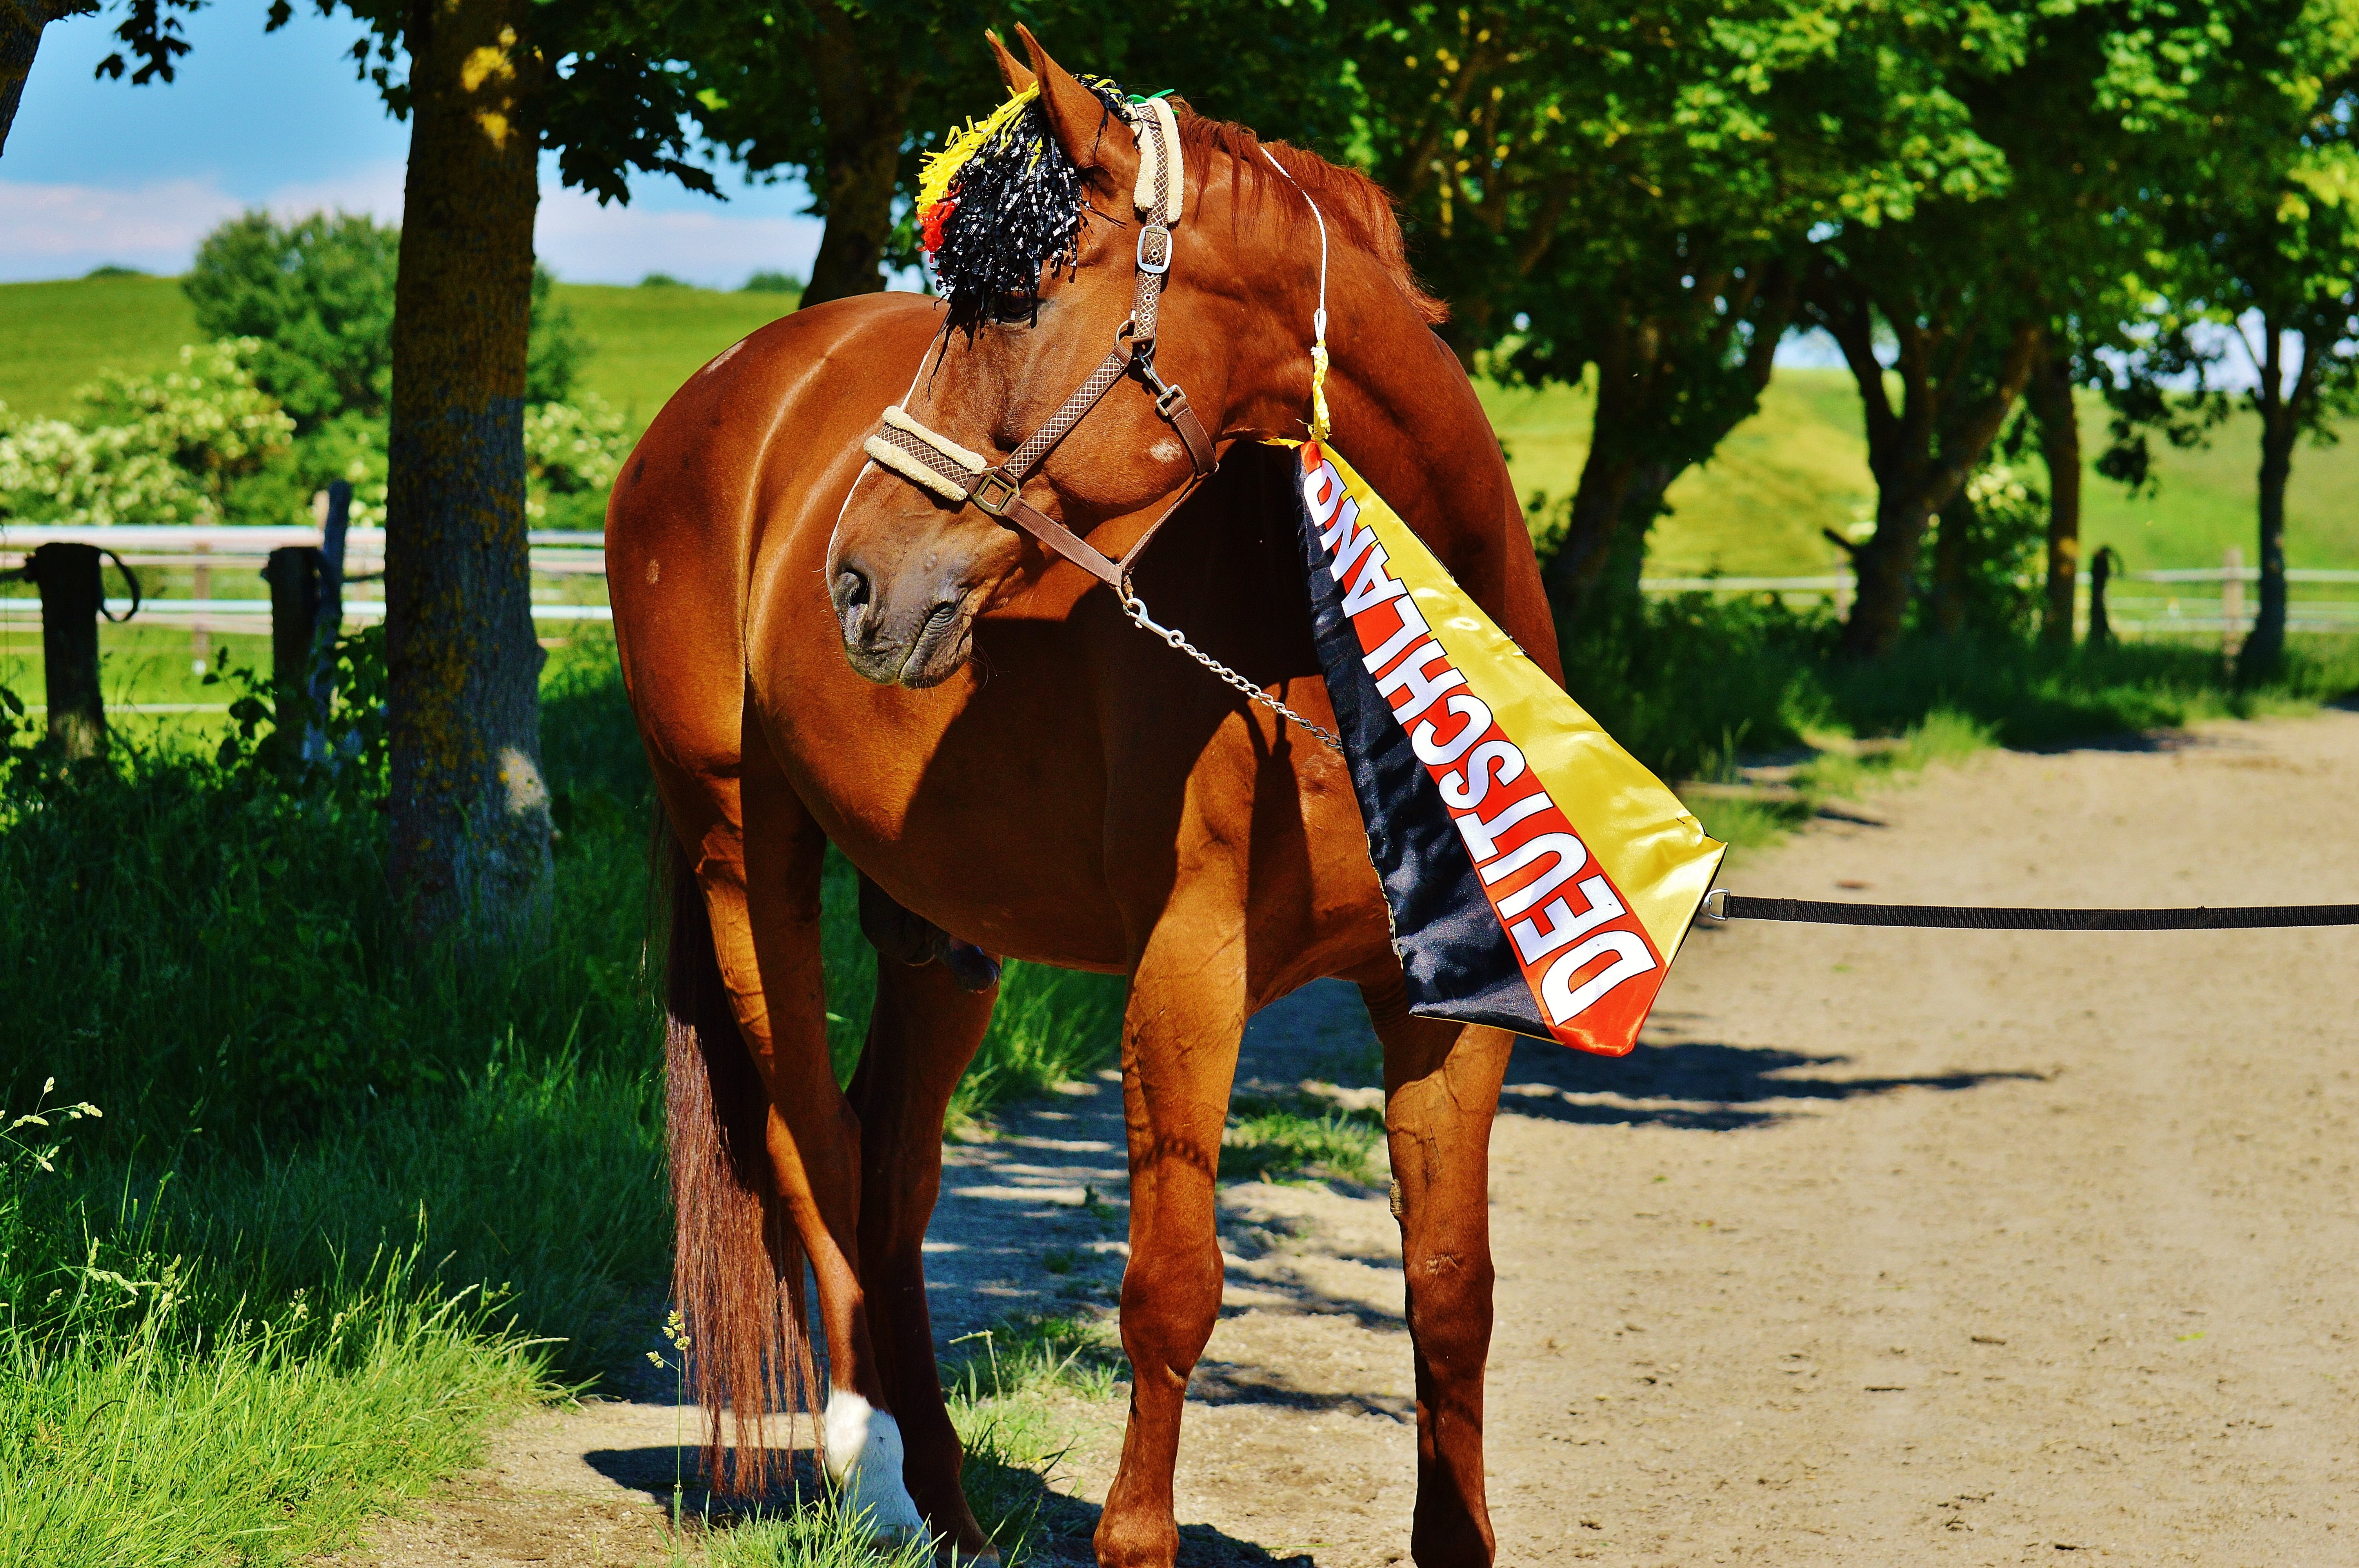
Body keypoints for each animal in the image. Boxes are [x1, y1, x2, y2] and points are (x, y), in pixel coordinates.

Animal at [605, 27, 1563, 1567]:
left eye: (1022, 300)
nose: (856, 581)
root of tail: (720, 396)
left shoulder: (1449, 1011)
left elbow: (1449, 1289)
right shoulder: (1186, 976)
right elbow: (1169, 1288)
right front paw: (1131, 1536)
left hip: (936, 930)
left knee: (891, 1173)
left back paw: (949, 1503)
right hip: (744, 860)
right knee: (815, 1153)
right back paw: (876, 1479)